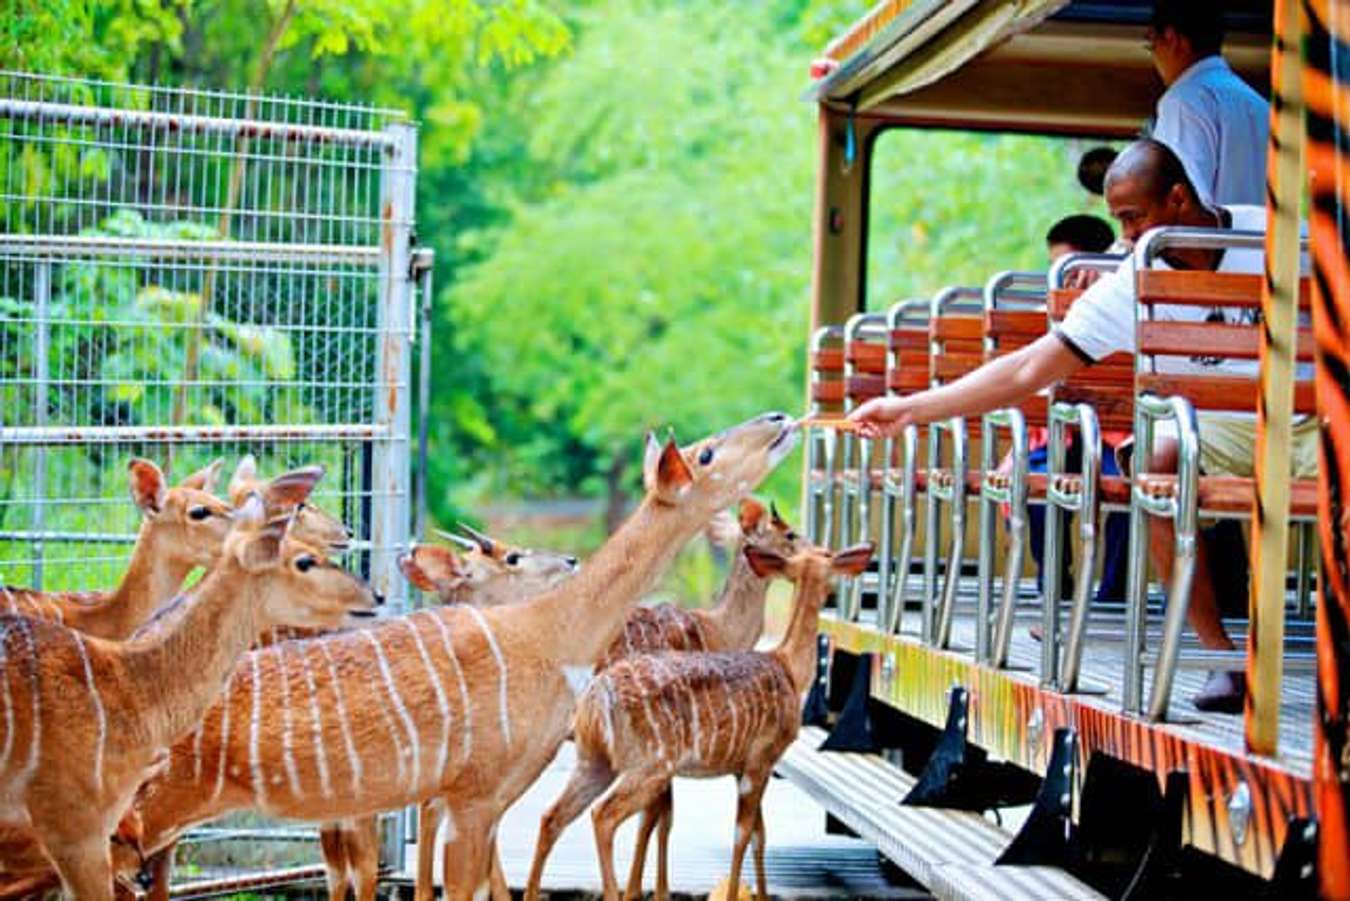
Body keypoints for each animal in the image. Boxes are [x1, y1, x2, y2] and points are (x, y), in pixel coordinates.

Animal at [521, 540, 869, 901]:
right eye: (828, 558)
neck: (788, 667)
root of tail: (595, 699)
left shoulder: (741, 765)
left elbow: (759, 835)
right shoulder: (762, 756)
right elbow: (742, 834)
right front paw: (734, 894)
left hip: (594, 759)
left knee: (552, 816)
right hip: (651, 762)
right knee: (603, 815)